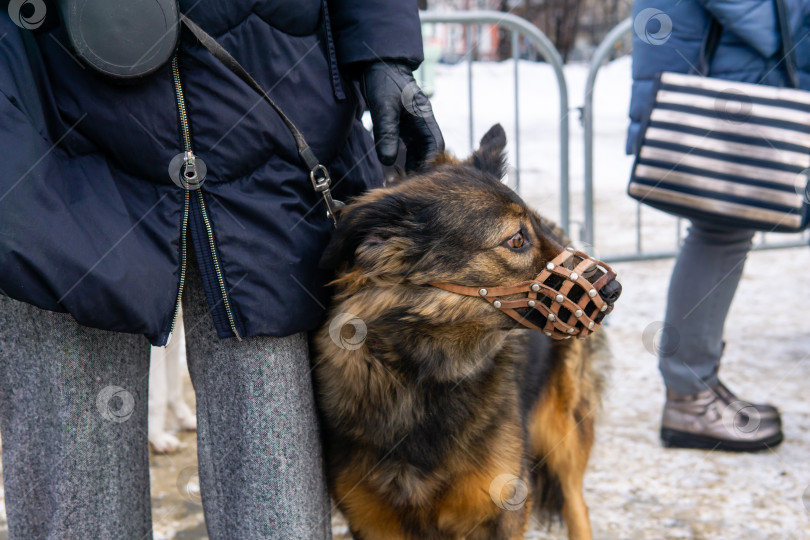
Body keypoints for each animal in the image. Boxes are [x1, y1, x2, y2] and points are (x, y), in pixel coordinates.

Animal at [312, 124, 620, 536]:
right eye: (516, 239)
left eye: (535, 227)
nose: (613, 290)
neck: (420, 375)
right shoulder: (374, 521)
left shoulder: (501, 510)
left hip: (563, 431)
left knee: (577, 506)